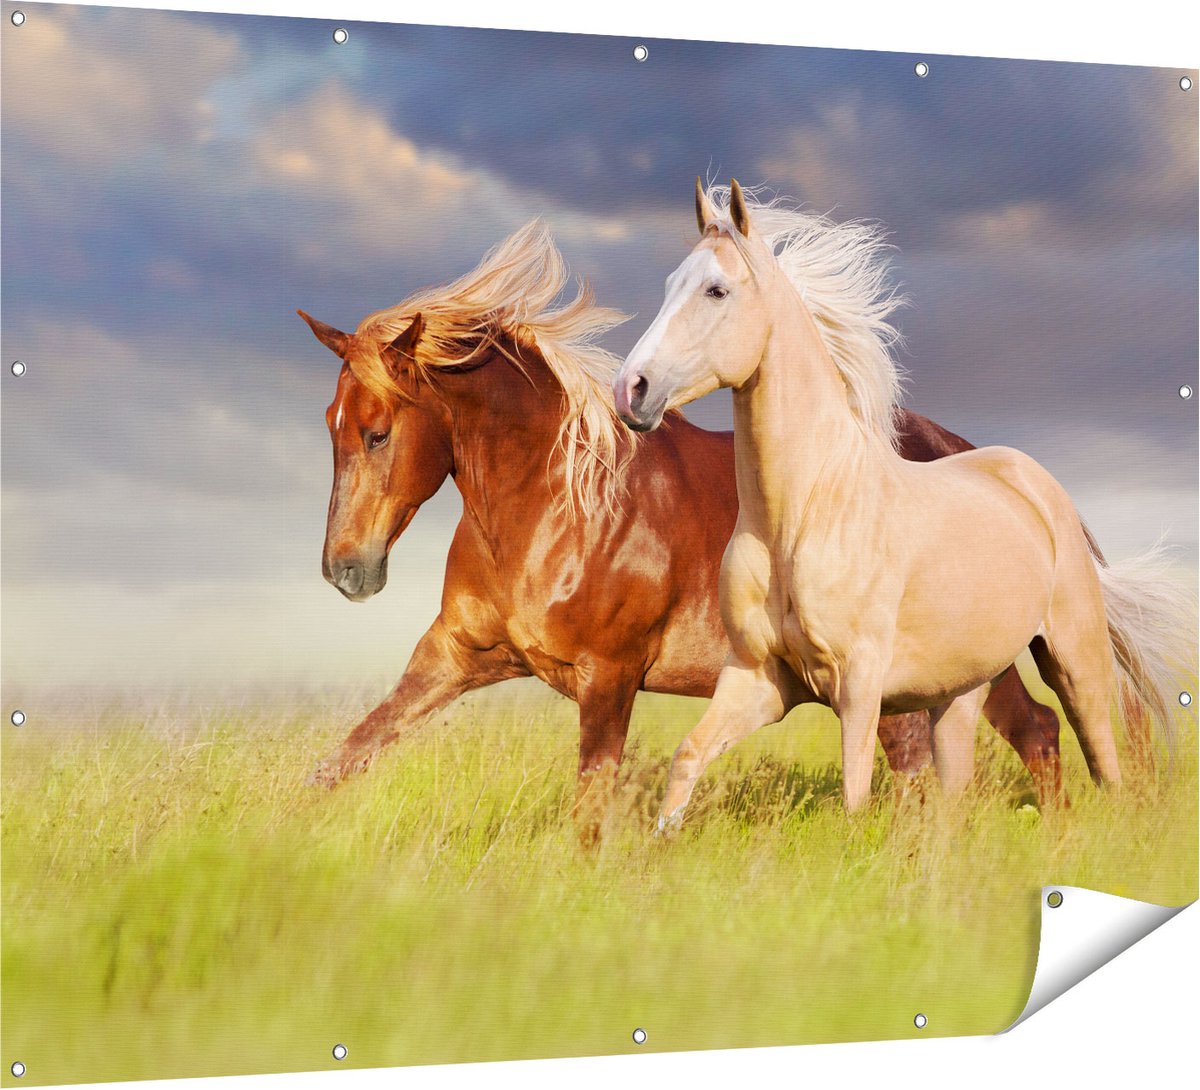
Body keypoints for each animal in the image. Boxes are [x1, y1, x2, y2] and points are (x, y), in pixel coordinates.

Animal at [297, 221, 1066, 840]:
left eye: (377, 432)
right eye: (331, 426)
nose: (346, 571)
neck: (555, 508)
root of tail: (975, 455)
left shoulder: (610, 678)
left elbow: (591, 809)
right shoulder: (455, 655)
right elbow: (346, 756)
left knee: (996, 744)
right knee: (1013, 737)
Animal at [612, 179, 1191, 830]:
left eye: (717, 289)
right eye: (669, 284)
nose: (631, 390)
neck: (804, 515)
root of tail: (1041, 489)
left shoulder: (859, 686)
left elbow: (855, 793)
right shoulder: (759, 678)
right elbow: (688, 757)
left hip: (1074, 661)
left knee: (1103, 762)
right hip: (961, 691)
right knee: (958, 787)